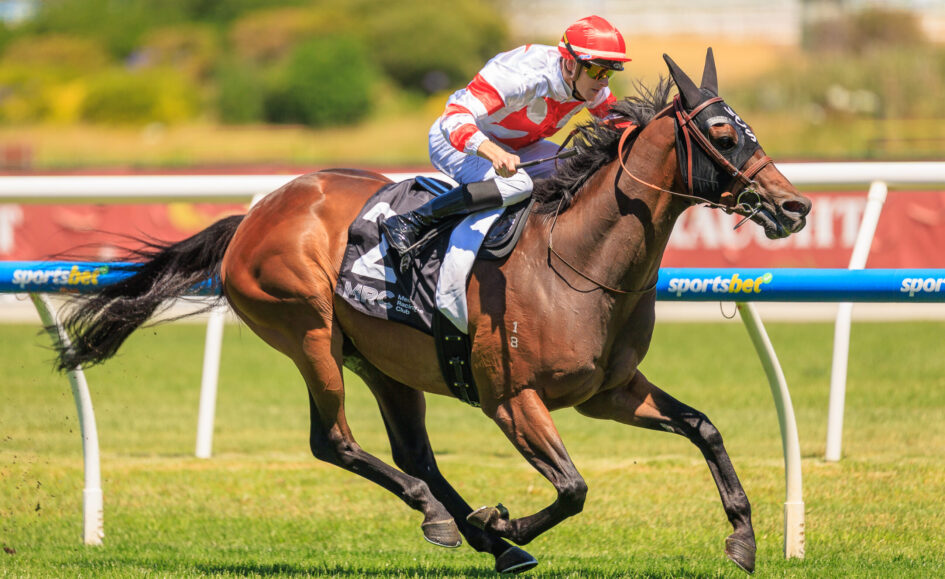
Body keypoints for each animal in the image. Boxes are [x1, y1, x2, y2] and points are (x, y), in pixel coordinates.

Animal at [55, 49, 810, 575]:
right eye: (723, 132)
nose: (795, 204)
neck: (576, 260)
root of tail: (256, 213)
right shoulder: (511, 398)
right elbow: (573, 487)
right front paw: (507, 524)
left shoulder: (609, 391)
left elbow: (704, 428)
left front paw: (742, 537)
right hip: (310, 333)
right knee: (334, 441)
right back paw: (455, 520)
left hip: (383, 360)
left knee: (410, 449)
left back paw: (472, 529)